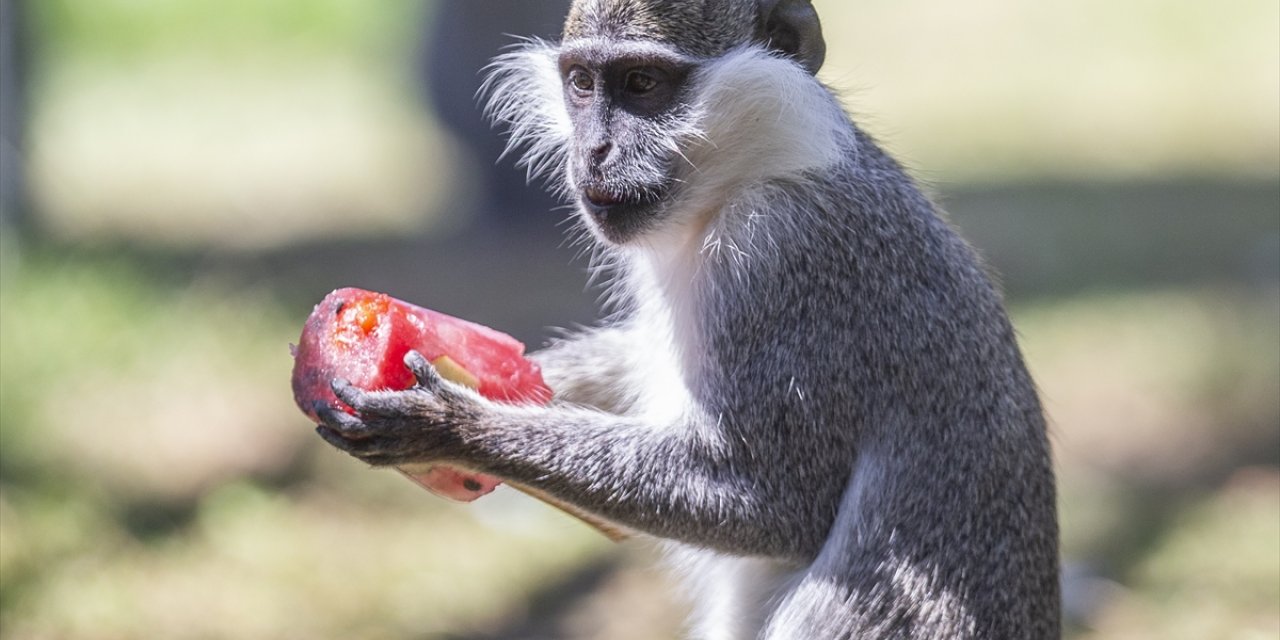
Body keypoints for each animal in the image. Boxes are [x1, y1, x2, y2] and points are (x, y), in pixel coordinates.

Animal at [314, 1, 1064, 634]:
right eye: (582, 83)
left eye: (642, 83)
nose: (593, 152)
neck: (752, 169)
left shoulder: (785, 253)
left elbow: (769, 502)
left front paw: (451, 426)